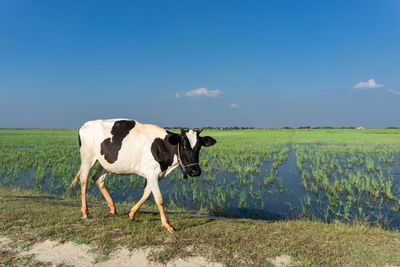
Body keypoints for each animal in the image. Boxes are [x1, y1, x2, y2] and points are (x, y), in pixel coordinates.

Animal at [70, 119, 217, 232]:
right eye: (185, 146)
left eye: (199, 147)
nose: (195, 171)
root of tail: (85, 125)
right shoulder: (151, 173)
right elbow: (159, 199)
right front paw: (167, 225)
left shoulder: (154, 175)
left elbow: (146, 195)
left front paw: (132, 214)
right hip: (88, 158)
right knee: (84, 180)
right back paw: (85, 213)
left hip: (105, 163)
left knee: (98, 179)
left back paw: (112, 208)